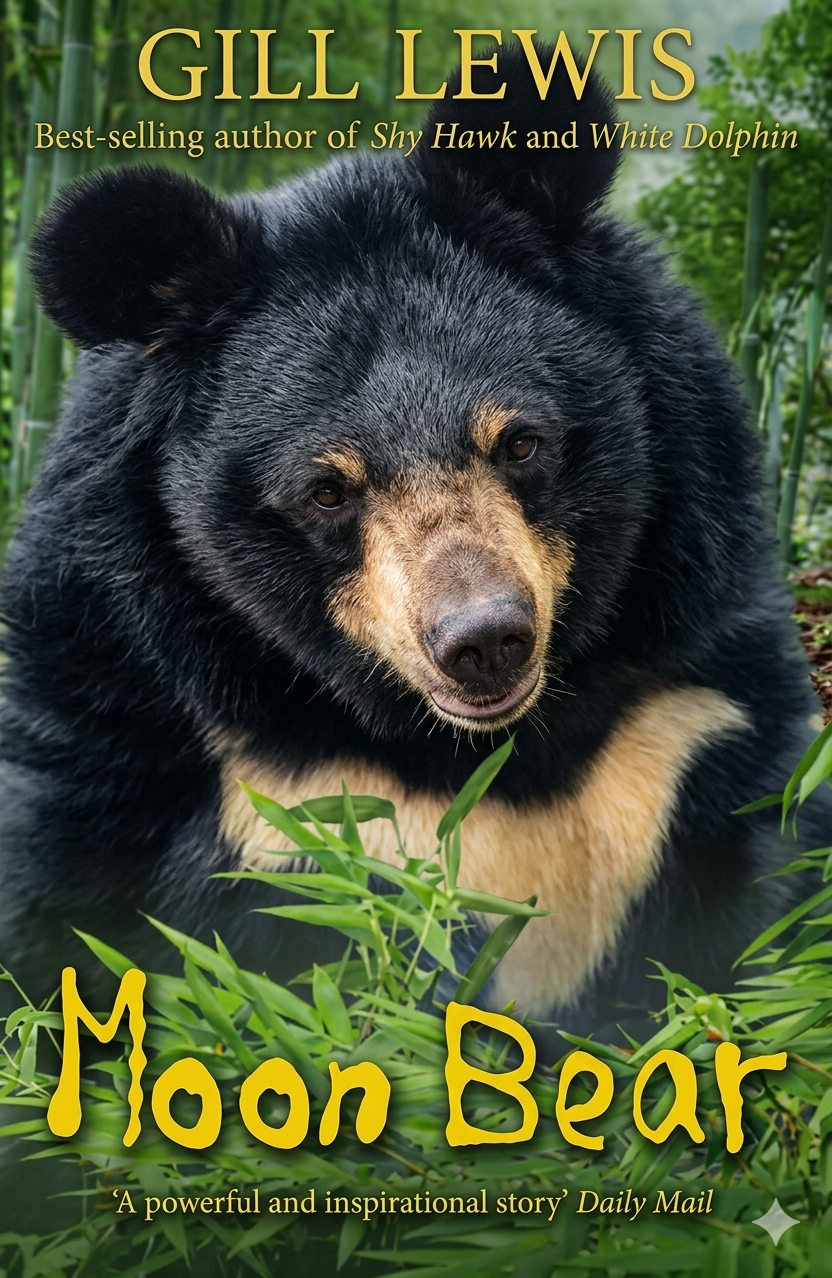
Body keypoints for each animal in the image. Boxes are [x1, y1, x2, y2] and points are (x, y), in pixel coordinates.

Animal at [0, 45, 828, 1037]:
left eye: (520, 442)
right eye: (325, 491)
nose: (485, 642)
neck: (474, 752)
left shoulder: (690, 703)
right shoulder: (124, 710)